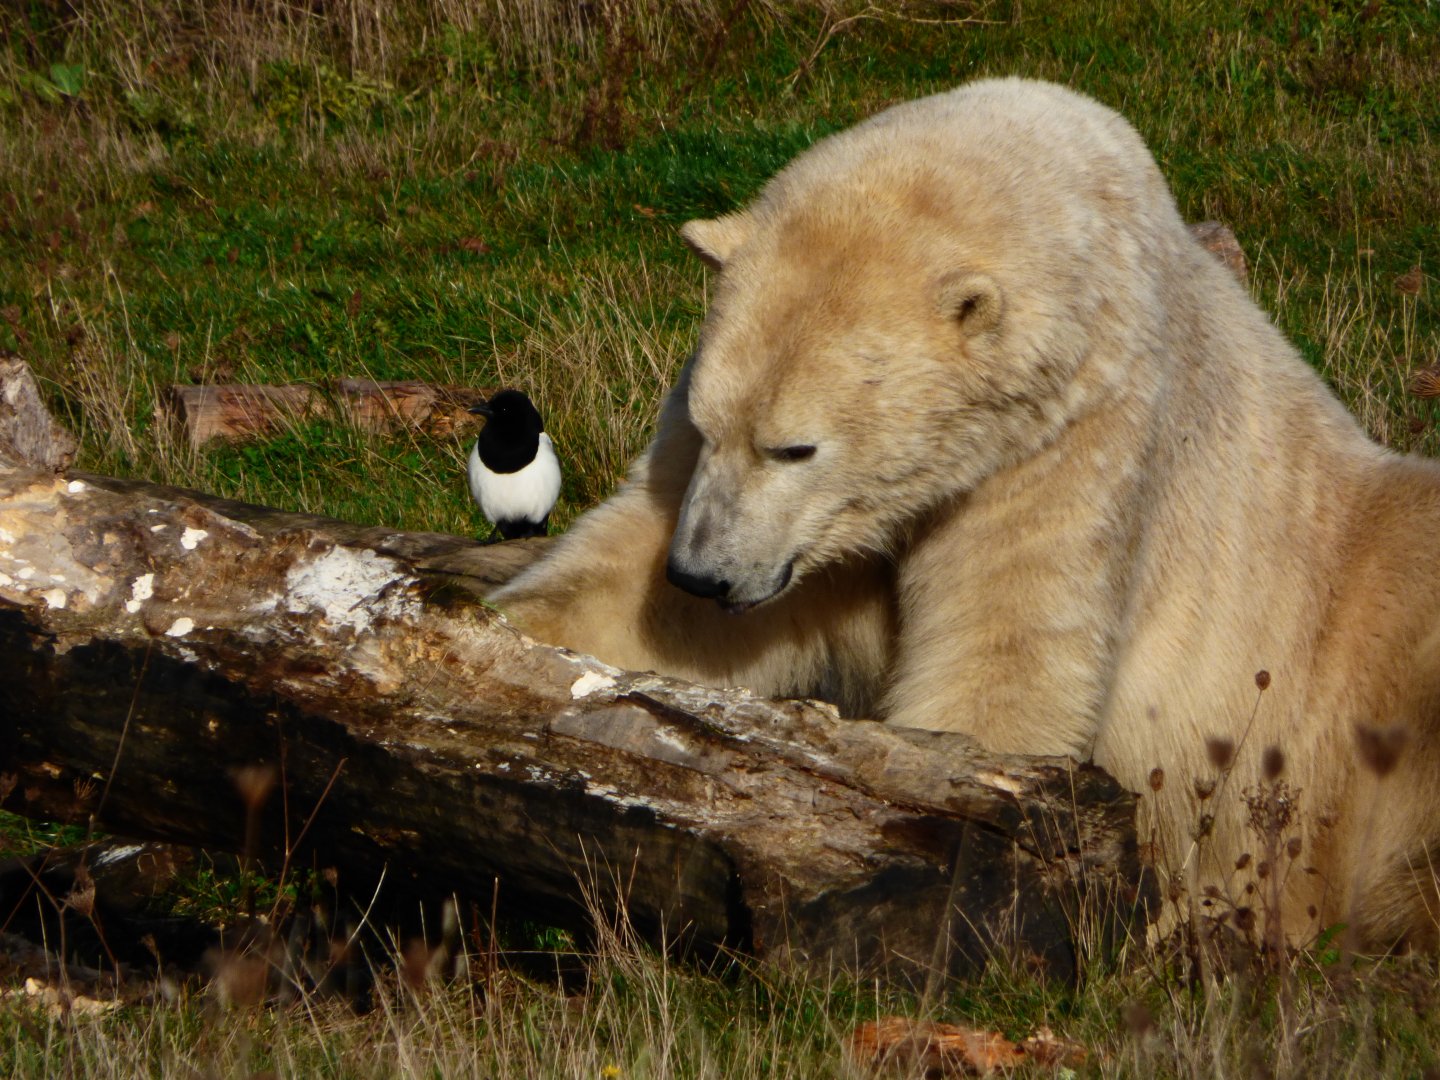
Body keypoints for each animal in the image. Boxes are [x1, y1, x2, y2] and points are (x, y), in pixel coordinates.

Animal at [491, 78, 1440, 948]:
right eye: (707, 424)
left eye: (794, 448)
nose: (702, 573)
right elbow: (648, 589)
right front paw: (508, 647)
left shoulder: (1073, 442)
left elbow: (1006, 652)